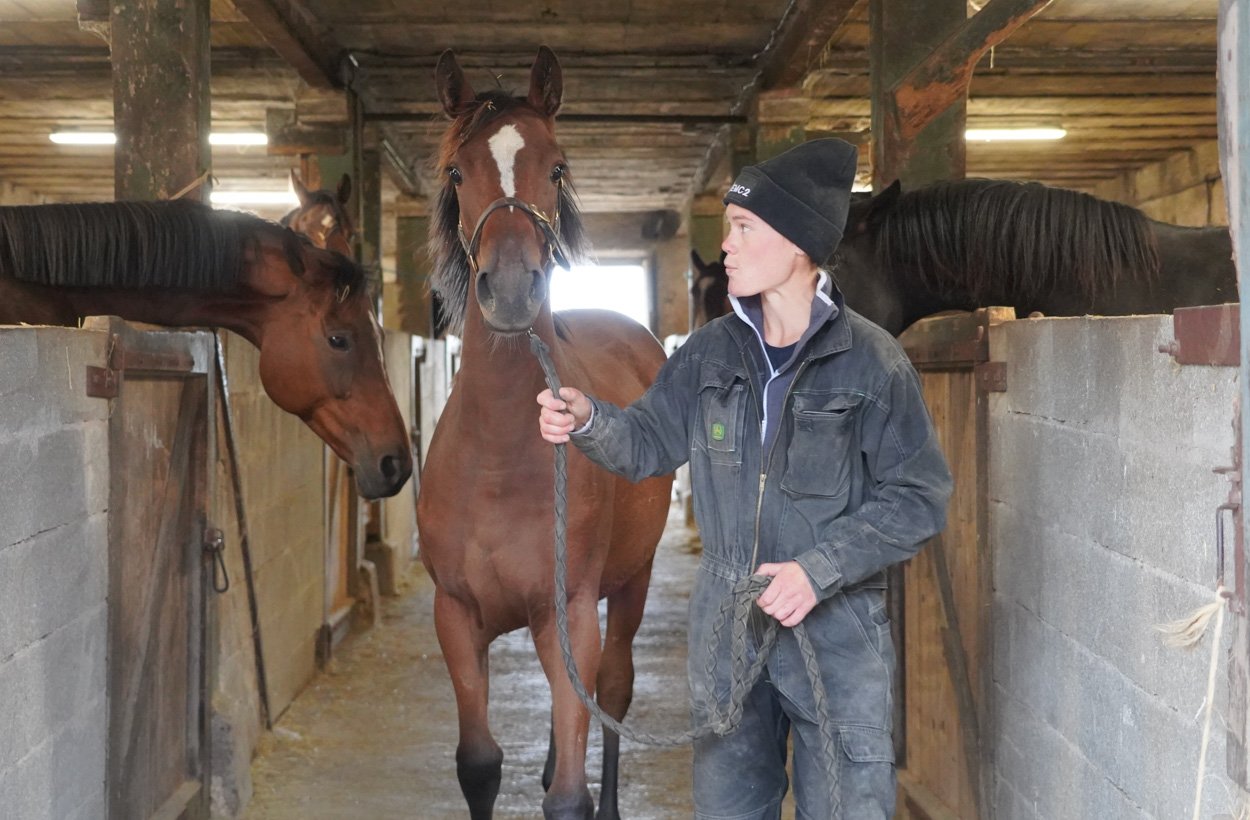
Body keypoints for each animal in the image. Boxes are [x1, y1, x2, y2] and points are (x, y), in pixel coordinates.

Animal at [415, 47, 673, 820]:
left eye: (557, 168)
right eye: (456, 172)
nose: (509, 290)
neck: (500, 456)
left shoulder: (571, 616)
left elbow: (568, 797)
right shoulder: (456, 616)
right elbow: (479, 765)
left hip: (631, 583)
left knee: (612, 690)